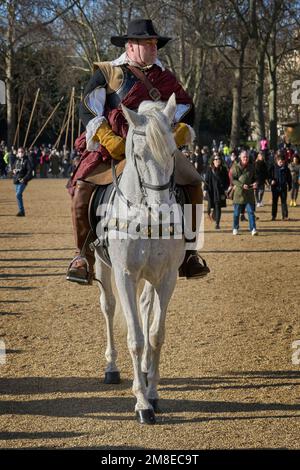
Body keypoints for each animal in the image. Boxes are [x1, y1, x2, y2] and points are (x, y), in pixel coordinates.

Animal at [95, 93, 186, 424]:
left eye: (173, 152)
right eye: (139, 154)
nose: (161, 212)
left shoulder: (167, 277)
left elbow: (156, 334)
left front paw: (154, 393)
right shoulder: (125, 274)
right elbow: (135, 337)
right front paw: (142, 403)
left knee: (146, 306)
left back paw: (146, 370)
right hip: (103, 268)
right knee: (108, 307)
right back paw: (111, 367)